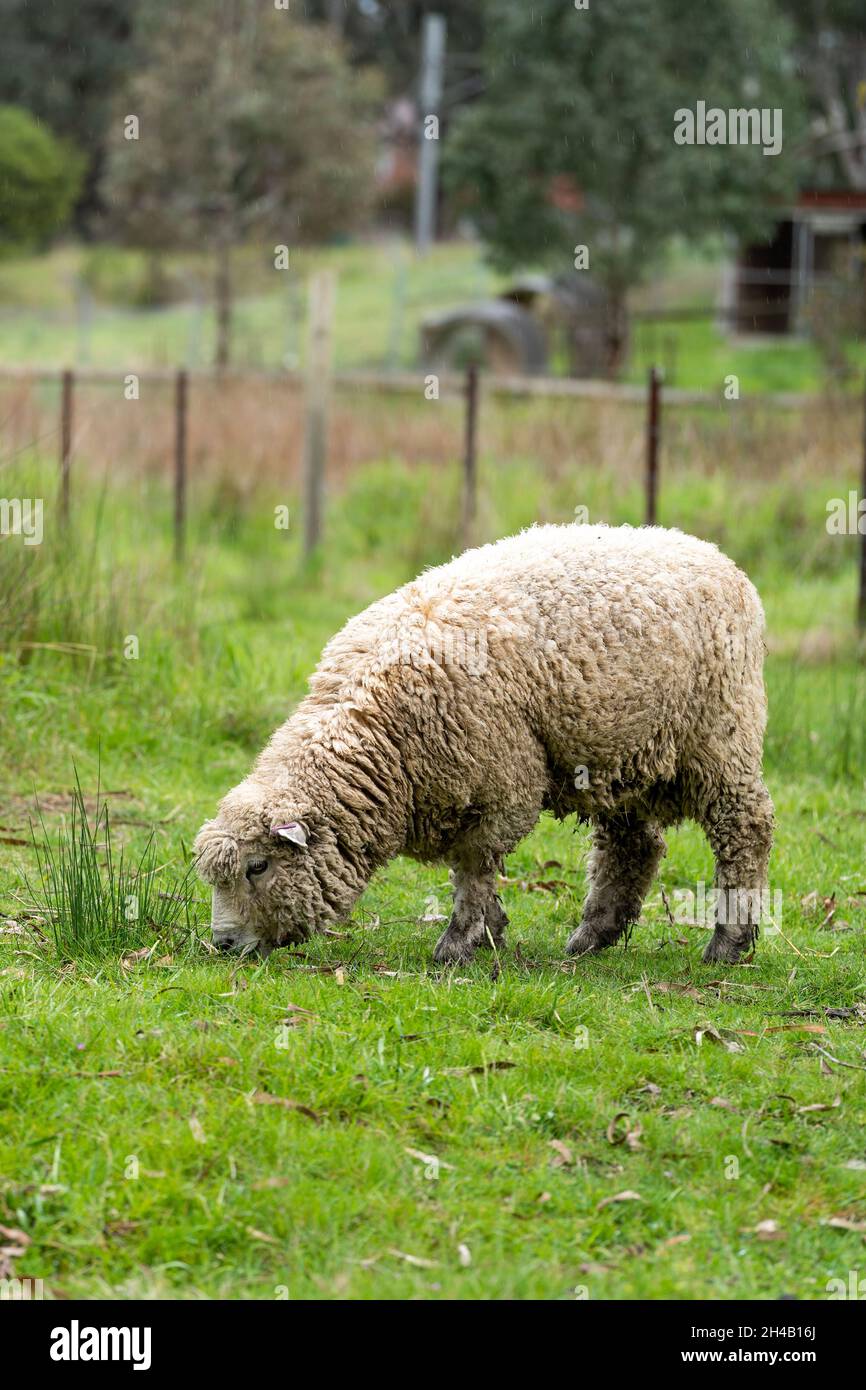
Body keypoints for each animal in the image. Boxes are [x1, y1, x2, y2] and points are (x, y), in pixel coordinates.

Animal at [194, 522, 773, 966]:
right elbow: (471, 873)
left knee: (746, 830)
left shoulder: (502, 787)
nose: (223, 943)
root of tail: (712, 553)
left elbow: (472, 867)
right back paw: (592, 937)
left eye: (257, 867)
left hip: (721, 736)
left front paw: (459, 943)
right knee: (634, 845)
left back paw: (729, 943)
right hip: (616, 751)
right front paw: (489, 930)